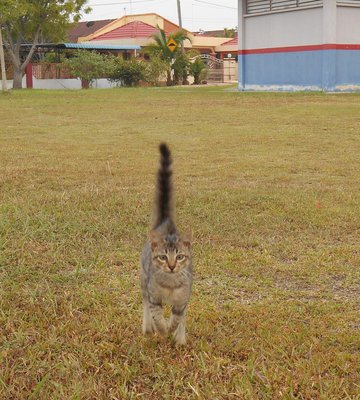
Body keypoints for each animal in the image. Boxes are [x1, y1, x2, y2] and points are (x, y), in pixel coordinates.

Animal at [140, 145, 193, 346]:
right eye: (163, 257)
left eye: (179, 256)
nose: (171, 266)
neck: (170, 285)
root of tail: (166, 221)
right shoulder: (154, 296)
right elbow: (156, 314)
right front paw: (162, 329)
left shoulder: (182, 300)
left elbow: (178, 317)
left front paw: (173, 329)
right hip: (143, 279)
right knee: (145, 303)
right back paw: (147, 327)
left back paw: (180, 338)